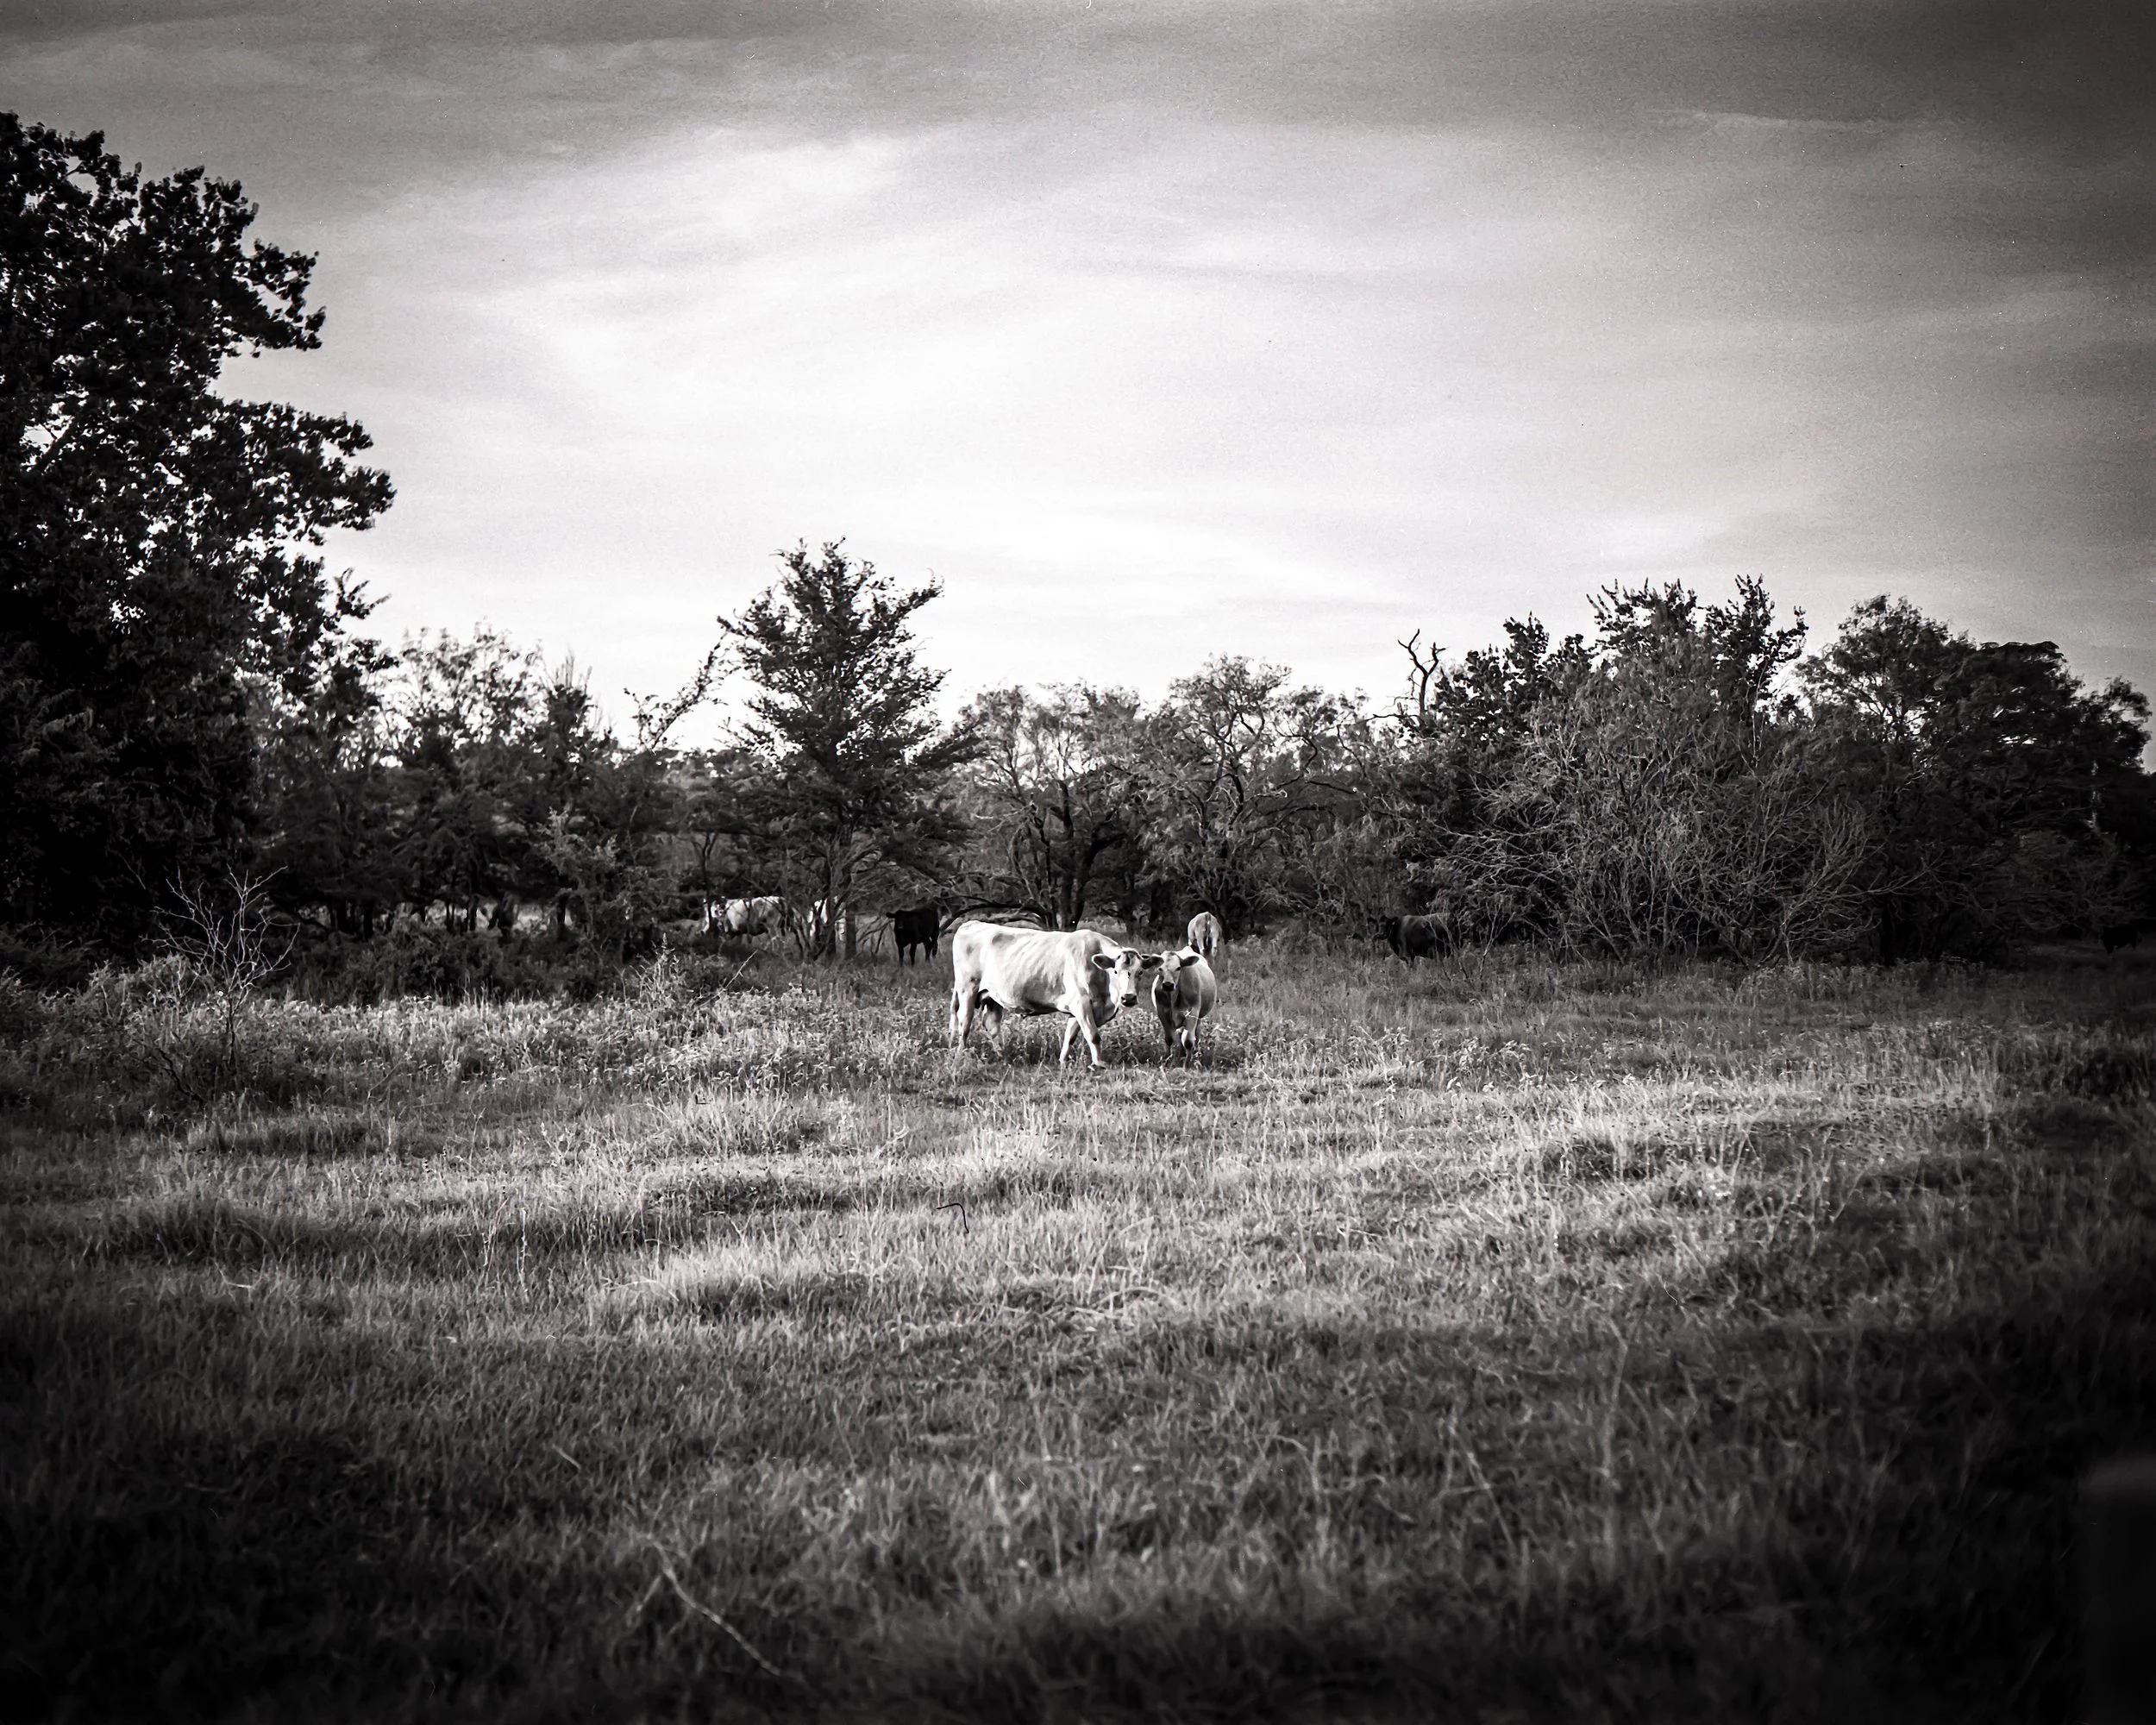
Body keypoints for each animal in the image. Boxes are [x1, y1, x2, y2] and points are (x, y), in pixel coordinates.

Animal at [948, 921, 1160, 1068]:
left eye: (1141, 972)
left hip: (993, 996)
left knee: (992, 1025)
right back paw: (960, 1055)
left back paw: (1003, 1057)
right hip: (967, 988)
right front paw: (1098, 1064)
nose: (1128, 998)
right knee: (964, 1023)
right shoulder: (1081, 1002)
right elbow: (1093, 1035)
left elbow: (1070, 1037)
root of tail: (972, 923)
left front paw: (1063, 1061)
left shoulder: (1079, 1009)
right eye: (1115, 971)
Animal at [1152, 946, 1218, 1063]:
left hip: (1198, 1017)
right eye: (1160, 969)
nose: (1168, 985)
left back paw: (1195, 1052)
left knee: (1196, 1034)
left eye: (1178, 968)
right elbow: (1169, 1038)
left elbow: (1187, 1041)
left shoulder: (1193, 1011)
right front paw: (1167, 1059)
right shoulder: (1161, 1012)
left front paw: (1187, 1063)